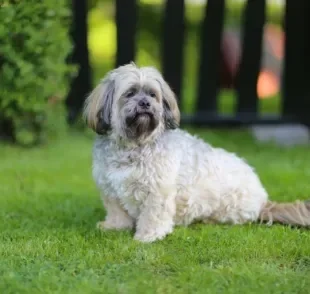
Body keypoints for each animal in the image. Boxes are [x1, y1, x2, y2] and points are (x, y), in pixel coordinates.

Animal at [83, 63, 310, 242]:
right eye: (129, 93)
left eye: (152, 94)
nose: (145, 103)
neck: (133, 144)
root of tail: (263, 201)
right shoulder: (110, 190)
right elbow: (117, 213)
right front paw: (114, 227)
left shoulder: (158, 191)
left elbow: (153, 215)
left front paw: (147, 236)